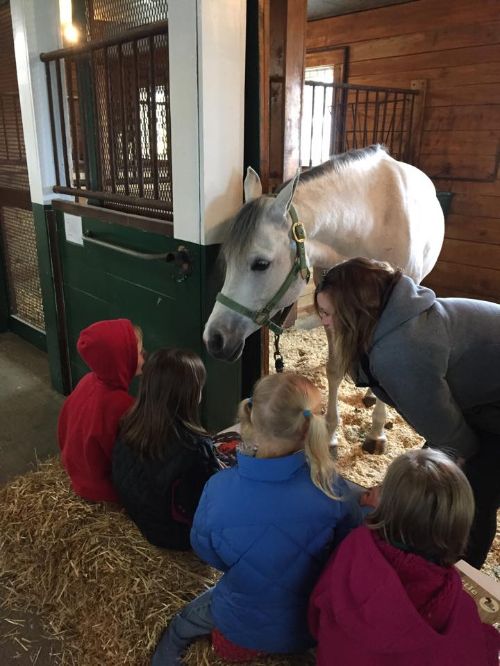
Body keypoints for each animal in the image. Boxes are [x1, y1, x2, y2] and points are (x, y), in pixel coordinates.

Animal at [201, 145, 444, 452]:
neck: (369, 219)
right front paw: (330, 433)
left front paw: (376, 433)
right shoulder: (332, 311)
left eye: (261, 264)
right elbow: (334, 369)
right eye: (227, 259)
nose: (215, 340)